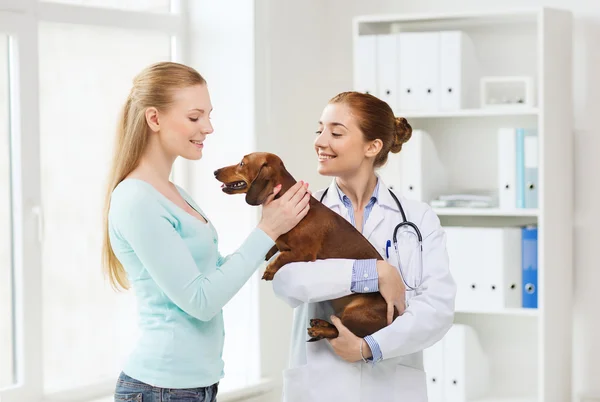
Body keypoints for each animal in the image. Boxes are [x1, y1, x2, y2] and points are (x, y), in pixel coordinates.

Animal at [212, 152, 398, 340]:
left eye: (242, 163)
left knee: (341, 331)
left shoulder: (304, 253)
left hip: (354, 311)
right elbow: (276, 245)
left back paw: (320, 329)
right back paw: (321, 324)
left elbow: (283, 256)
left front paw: (270, 270)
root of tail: (395, 316)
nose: (215, 172)